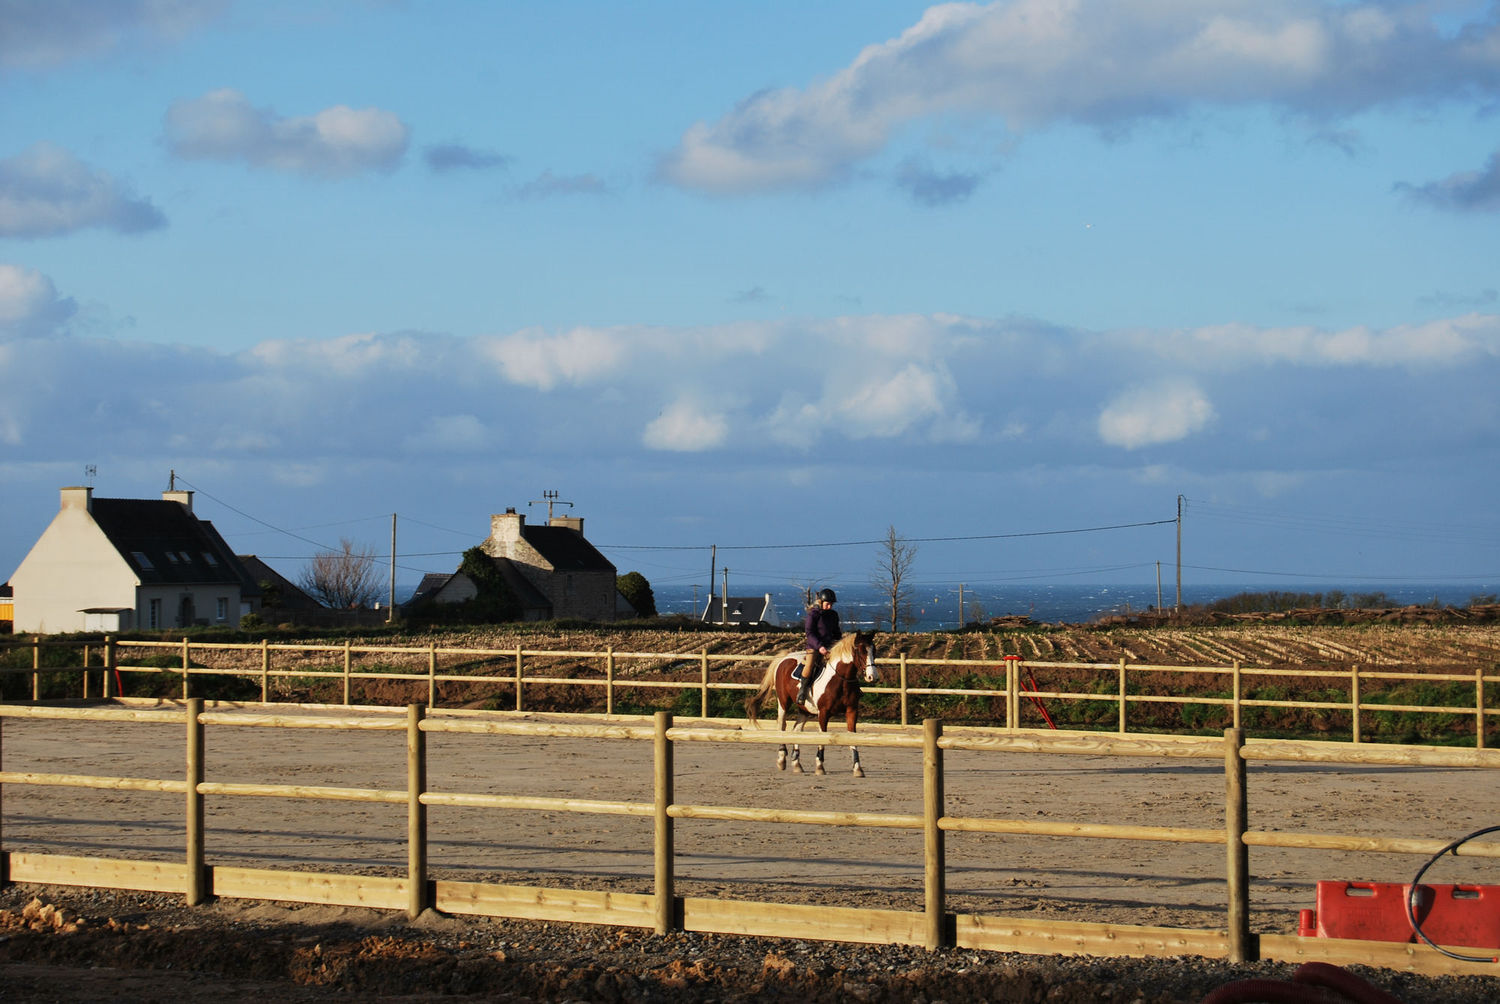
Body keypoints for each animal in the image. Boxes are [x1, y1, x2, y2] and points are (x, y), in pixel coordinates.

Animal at [741, 630, 876, 780]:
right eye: (861, 651)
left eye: (874, 651)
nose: (872, 676)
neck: (840, 679)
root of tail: (785, 657)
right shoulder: (823, 713)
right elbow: (823, 737)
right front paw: (819, 767)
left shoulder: (852, 711)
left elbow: (852, 737)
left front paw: (858, 768)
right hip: (783, 703)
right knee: (782, 726)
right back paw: (781, 759)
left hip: (804, 710)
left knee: (796, 730)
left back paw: (797, 764)